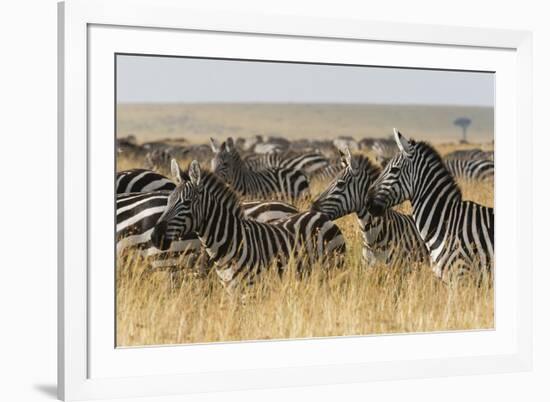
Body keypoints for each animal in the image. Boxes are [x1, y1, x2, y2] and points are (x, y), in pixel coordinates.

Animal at [151, 160, 344, 288]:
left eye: (187, 203)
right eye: (168, 200)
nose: (155, 236)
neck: (229, 240)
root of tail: (322, 216)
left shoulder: (249, 289)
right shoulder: (230, 290)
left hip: (332, 271)